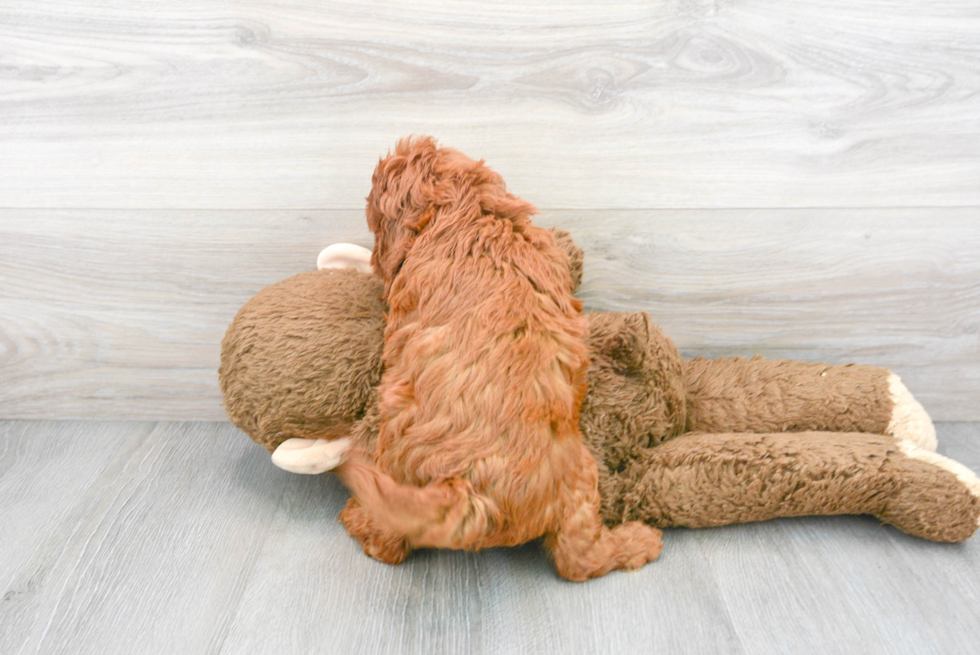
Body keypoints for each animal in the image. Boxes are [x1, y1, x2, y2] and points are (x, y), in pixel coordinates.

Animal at [334, 136, 664, 580]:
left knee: (391, 542)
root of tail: (471, 494)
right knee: (578, 558)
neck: (473, 212)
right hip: (580, 477)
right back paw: (638, 541)